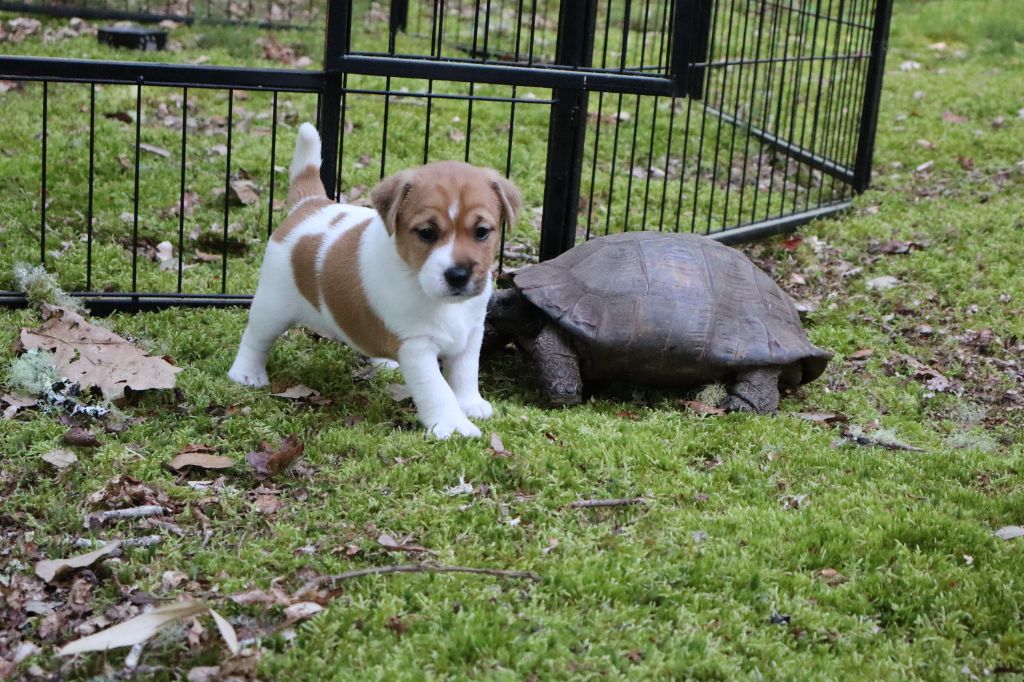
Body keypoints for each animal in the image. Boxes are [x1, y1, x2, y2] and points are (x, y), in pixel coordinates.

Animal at [228, 123, 521, 438]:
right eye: (427, 232)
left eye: (482, 231)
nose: (458, 275)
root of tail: (309, 204)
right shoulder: (416, 346)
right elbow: (437, 389)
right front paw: (453, 425)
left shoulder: (471, 333)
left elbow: (465, 374)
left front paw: (470, 404)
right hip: (272, 306)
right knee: (255, 338)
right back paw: (246, 373)